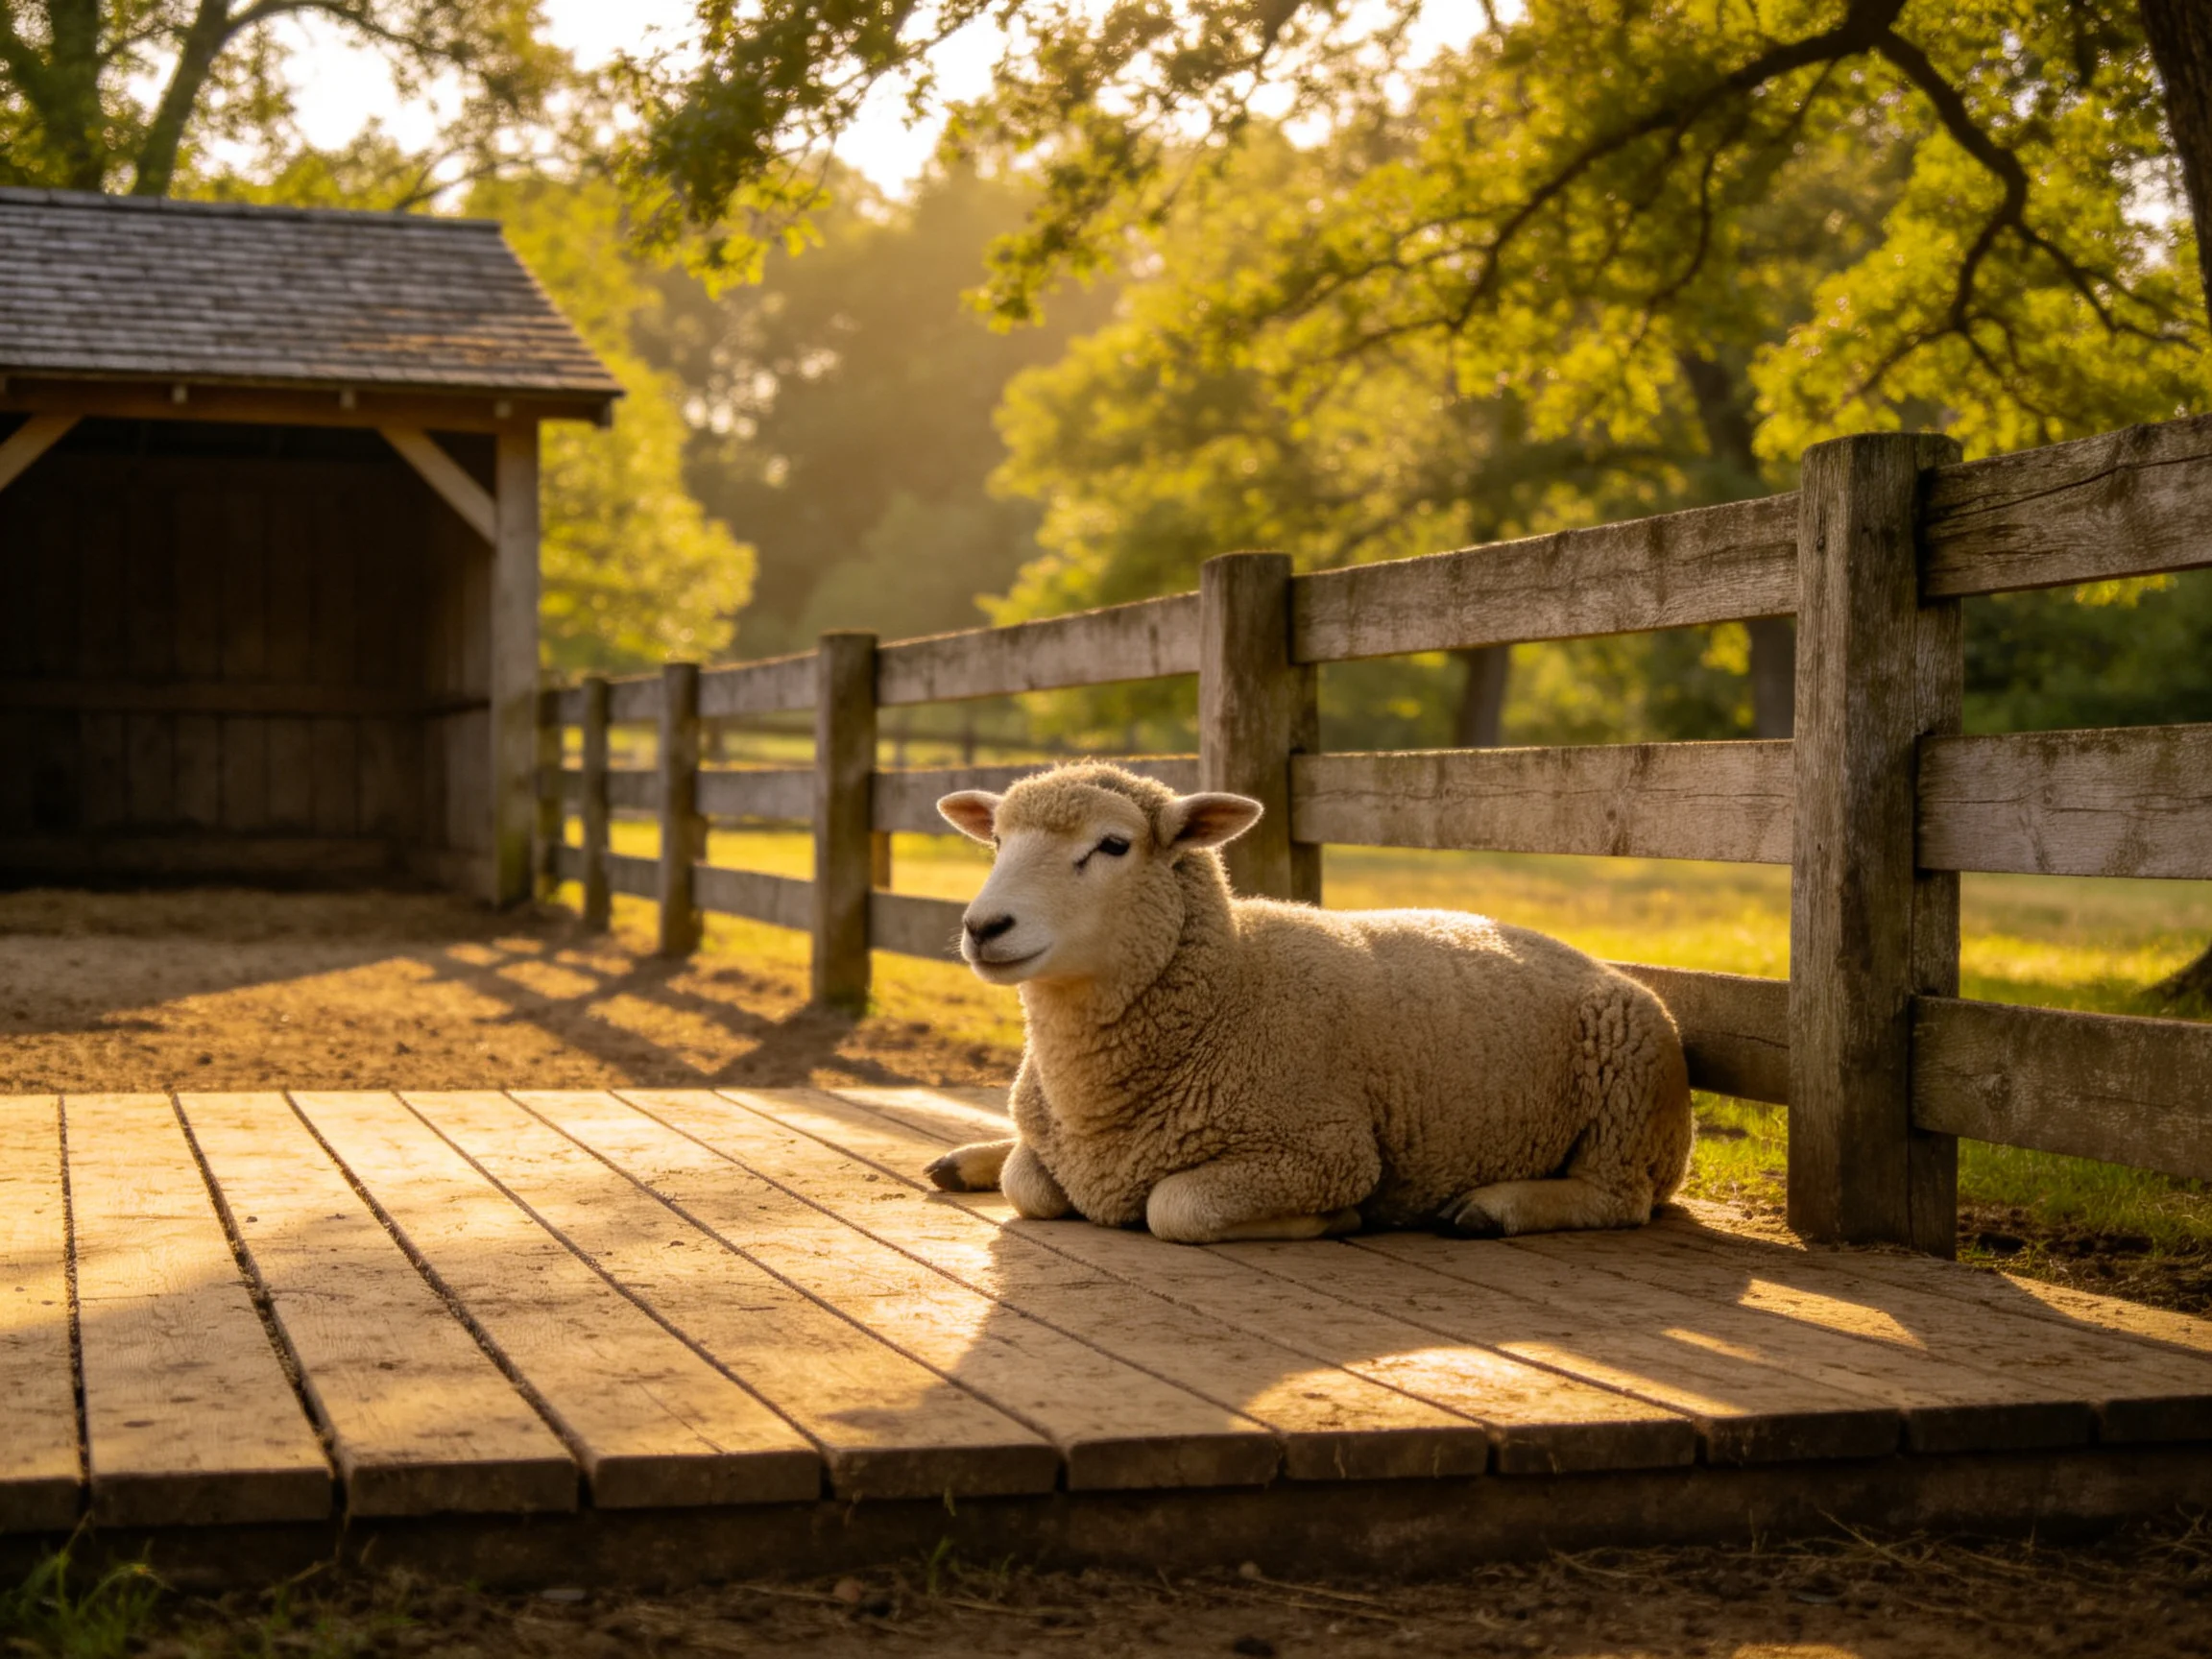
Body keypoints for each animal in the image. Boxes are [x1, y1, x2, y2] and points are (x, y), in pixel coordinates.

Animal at [923, 762, 1693, 1245]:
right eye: (997, 840)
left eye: (1112, 845)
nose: (983, 927)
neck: (1233, 986)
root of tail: (1597, 962)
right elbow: (1029, 1182)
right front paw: (999, 1162)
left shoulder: (1326, 1153)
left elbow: (1177, 1205)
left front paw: (1337, 1220)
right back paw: (966, 1160)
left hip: (1628, 1102)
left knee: (1617, 1195)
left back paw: (1490, 1208)